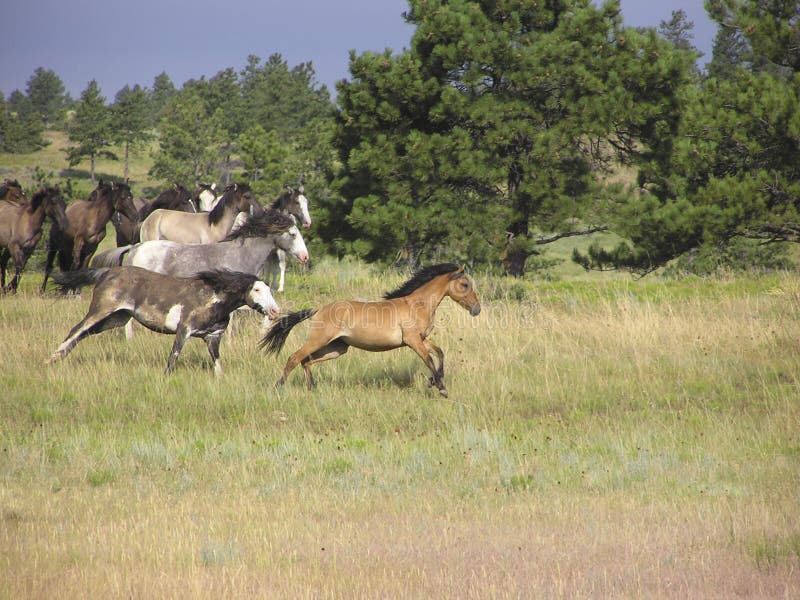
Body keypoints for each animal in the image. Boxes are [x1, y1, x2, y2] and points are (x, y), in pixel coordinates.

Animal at [260, 264, 482, 398]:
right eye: (464, 284)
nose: (477, 309)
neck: (418, 304)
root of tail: (319, 309)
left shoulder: (422, 339)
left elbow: (439, 353)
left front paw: (434, 381)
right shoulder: (413, 341)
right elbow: (428, 359)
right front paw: (441, 387)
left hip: (337, 348)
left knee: (306, 361)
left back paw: (311, 388)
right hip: (319, 340)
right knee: (294, 358)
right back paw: (278, 388)